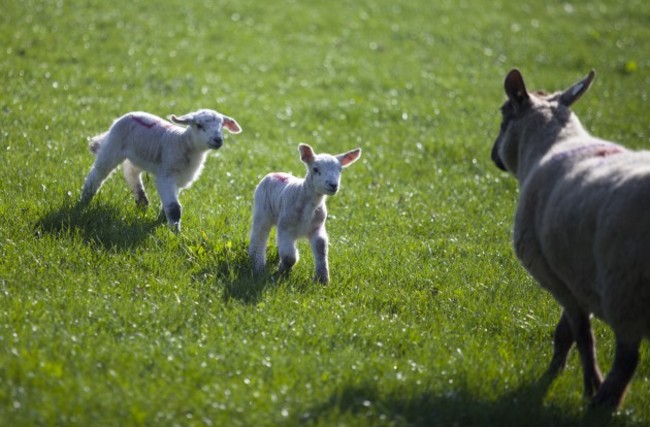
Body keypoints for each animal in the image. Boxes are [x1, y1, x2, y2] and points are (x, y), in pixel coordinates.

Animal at [78, 108, 240, 232]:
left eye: (221, 126)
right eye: (199, 125)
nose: (218, 140)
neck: (183, 143)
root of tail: (130, 114)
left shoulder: (179, 179)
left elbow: (170, 204)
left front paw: (162, 220)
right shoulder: (166, 176)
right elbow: (174, 208)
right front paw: (176, 233)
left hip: (138, 154)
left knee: (130, 171)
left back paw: (142, 201)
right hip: (113, 145)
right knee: (98, 173)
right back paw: (84, 201)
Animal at [247, 144, 360, 284]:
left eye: (340, 170)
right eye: (315, 169)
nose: (333, 185)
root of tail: (274, 173)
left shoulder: (317, 227)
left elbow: (321, 248)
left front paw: (322, 280)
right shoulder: (286, 227)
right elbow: (289, 257)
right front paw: (282, 270)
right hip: (262, 211)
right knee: (259, 236)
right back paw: (258, 266)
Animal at [492, 67, 648, 412]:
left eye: (503, 115)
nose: (493, 155)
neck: (553, 143)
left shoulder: (557, 276)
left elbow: (579, 334)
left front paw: (584, 382)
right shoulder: (573, 276)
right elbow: (569, 331)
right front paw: (557, 373)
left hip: (624, 292)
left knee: (627, 360)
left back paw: (601, 404)